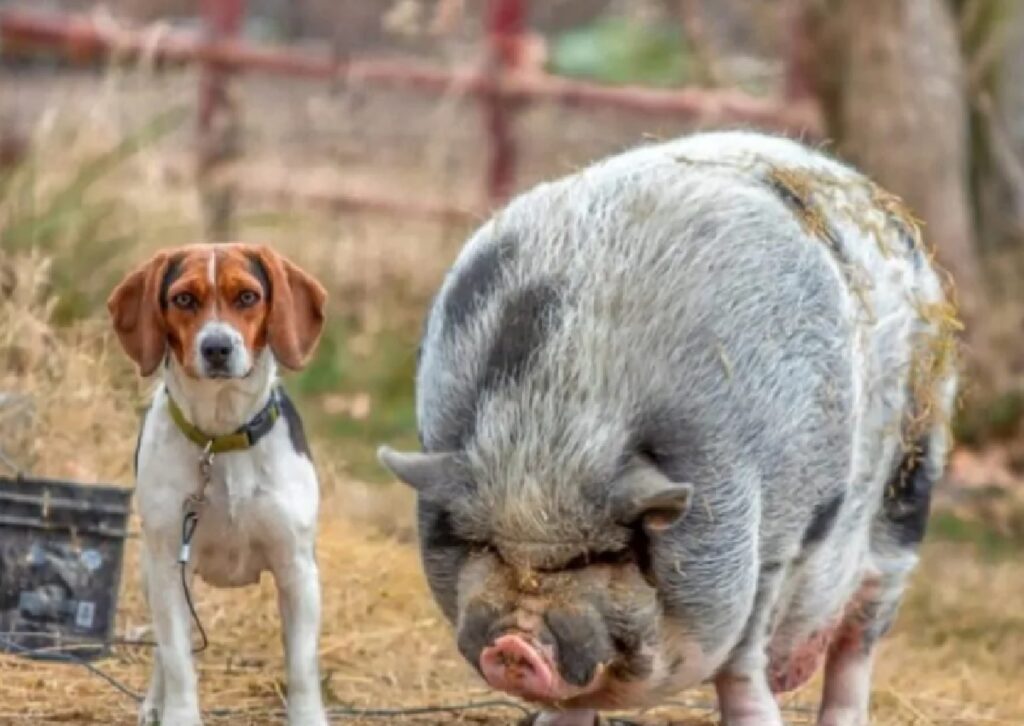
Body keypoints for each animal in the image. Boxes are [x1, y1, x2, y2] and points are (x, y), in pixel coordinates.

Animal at [107, 243, 327, 724]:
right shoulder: (169, 568)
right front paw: (177, 714)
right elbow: (176, 662)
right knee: (164, 654)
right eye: (184, 299)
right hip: (153, 572)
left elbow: (303, 669)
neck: (220, 438)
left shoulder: (297, 569)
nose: (217, 347)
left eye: (247, 297)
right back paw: (154, 703)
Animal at [378, 132, 958, 724]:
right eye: (484, 545)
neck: (556, 423)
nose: (514, 646)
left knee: (858, 642)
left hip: (910, 489)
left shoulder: (773, 550)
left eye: (604, 555)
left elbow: (741, 667)